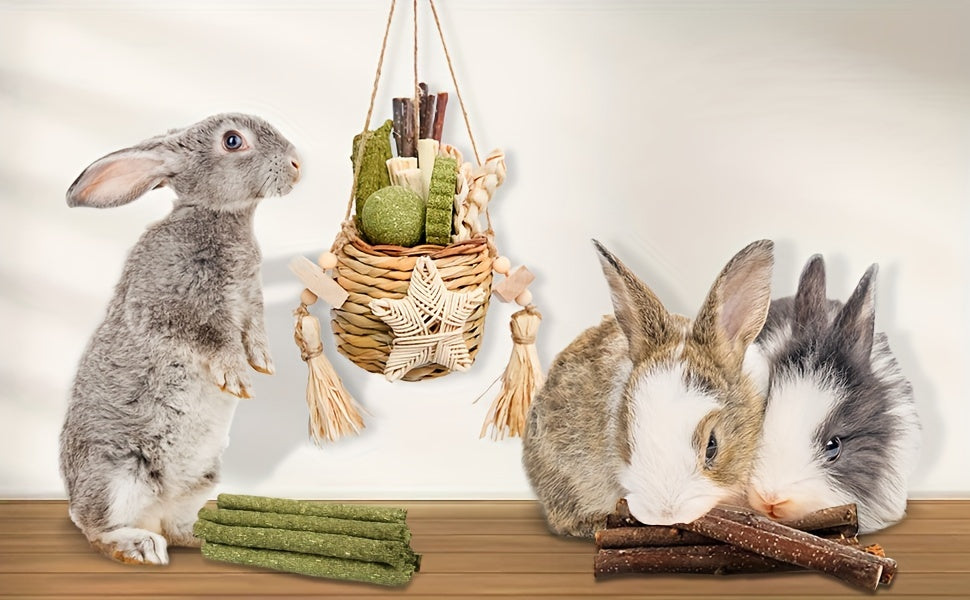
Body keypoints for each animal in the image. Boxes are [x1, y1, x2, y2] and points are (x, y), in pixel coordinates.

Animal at [59, 113, 301, 565]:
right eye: (232, 141)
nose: (296, 164)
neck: (219, 216)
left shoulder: (250, 302)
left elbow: (254, 330)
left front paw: (263, 362)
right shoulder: (175, 305)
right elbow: (213, 338)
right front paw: (238, 377)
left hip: (202, 480)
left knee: (175, 524)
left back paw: (203, 536)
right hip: (118, 475)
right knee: (96, 527)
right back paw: (139, 546)